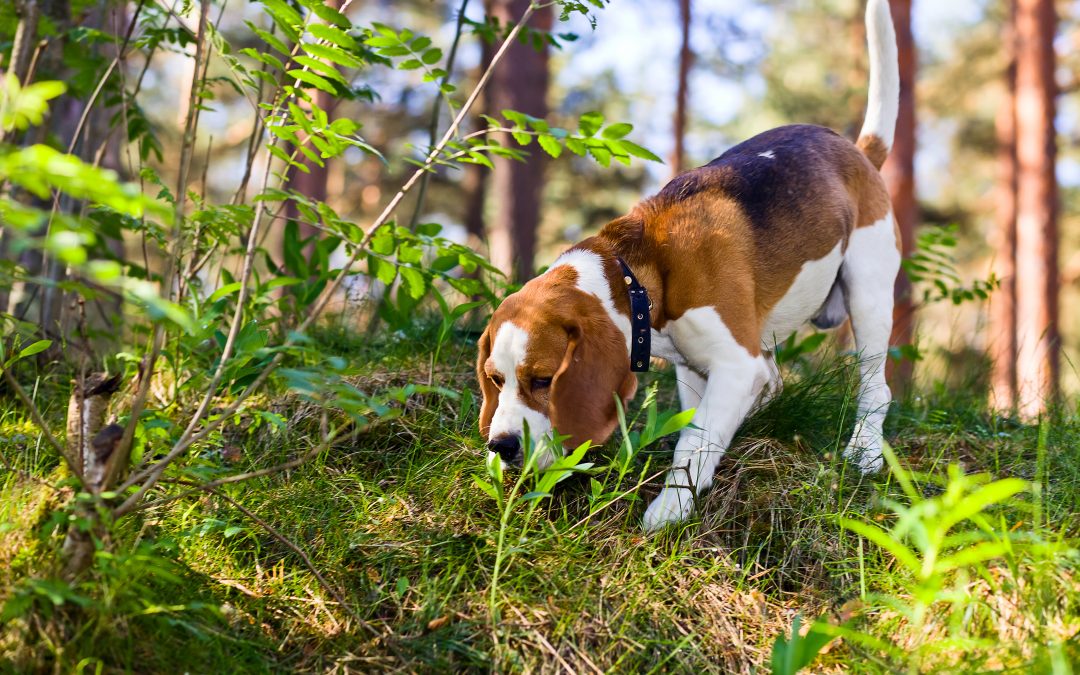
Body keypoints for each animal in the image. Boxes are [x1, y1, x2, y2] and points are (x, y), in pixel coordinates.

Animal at [477, 0, 898, 531]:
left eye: (542, 380)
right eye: (495, 380)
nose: (501, 446)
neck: (640, 275)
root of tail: (858, 153)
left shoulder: (734, 364)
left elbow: (693, 443)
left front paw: (670, 508)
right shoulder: (695, 370)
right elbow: (699, 429)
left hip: (868, 294)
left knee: (876, 386)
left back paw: (865, 450)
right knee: (776, 382)